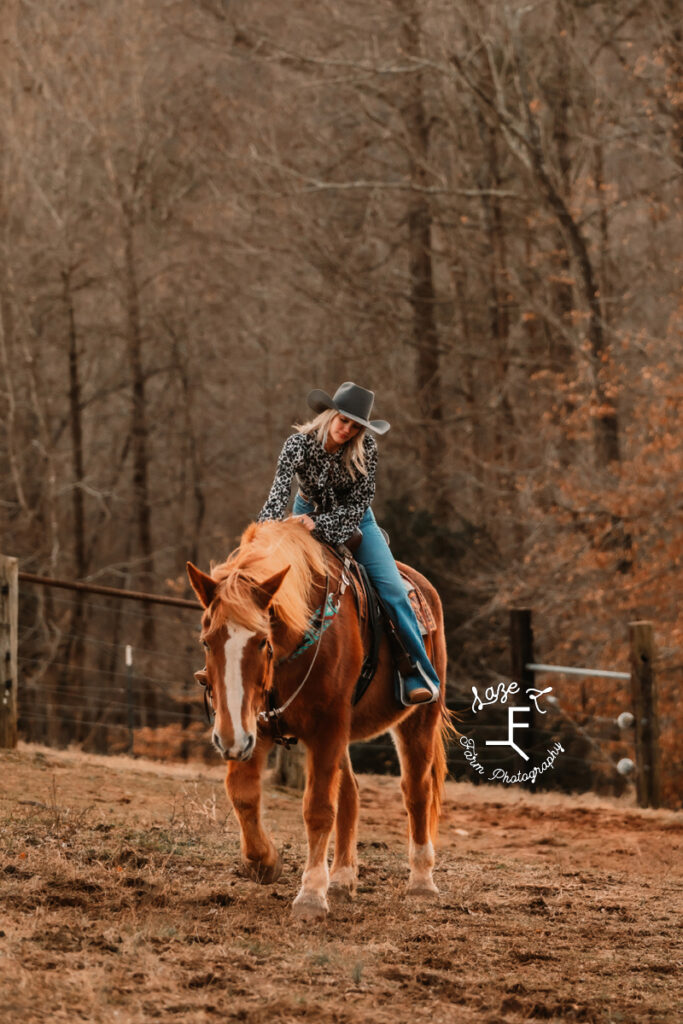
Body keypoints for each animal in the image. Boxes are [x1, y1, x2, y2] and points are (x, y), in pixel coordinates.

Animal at [187, 520, 454, 921]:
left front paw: (311, 895)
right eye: (207, 641)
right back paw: (342, 879)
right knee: (352, 793)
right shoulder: (257, 726)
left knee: (416, 791)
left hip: (418, 719)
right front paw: (265, 862)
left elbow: (317, 809)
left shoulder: (326, 727)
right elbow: (243, 793)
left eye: (262, 640)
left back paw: (421, 882)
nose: (228, 740)